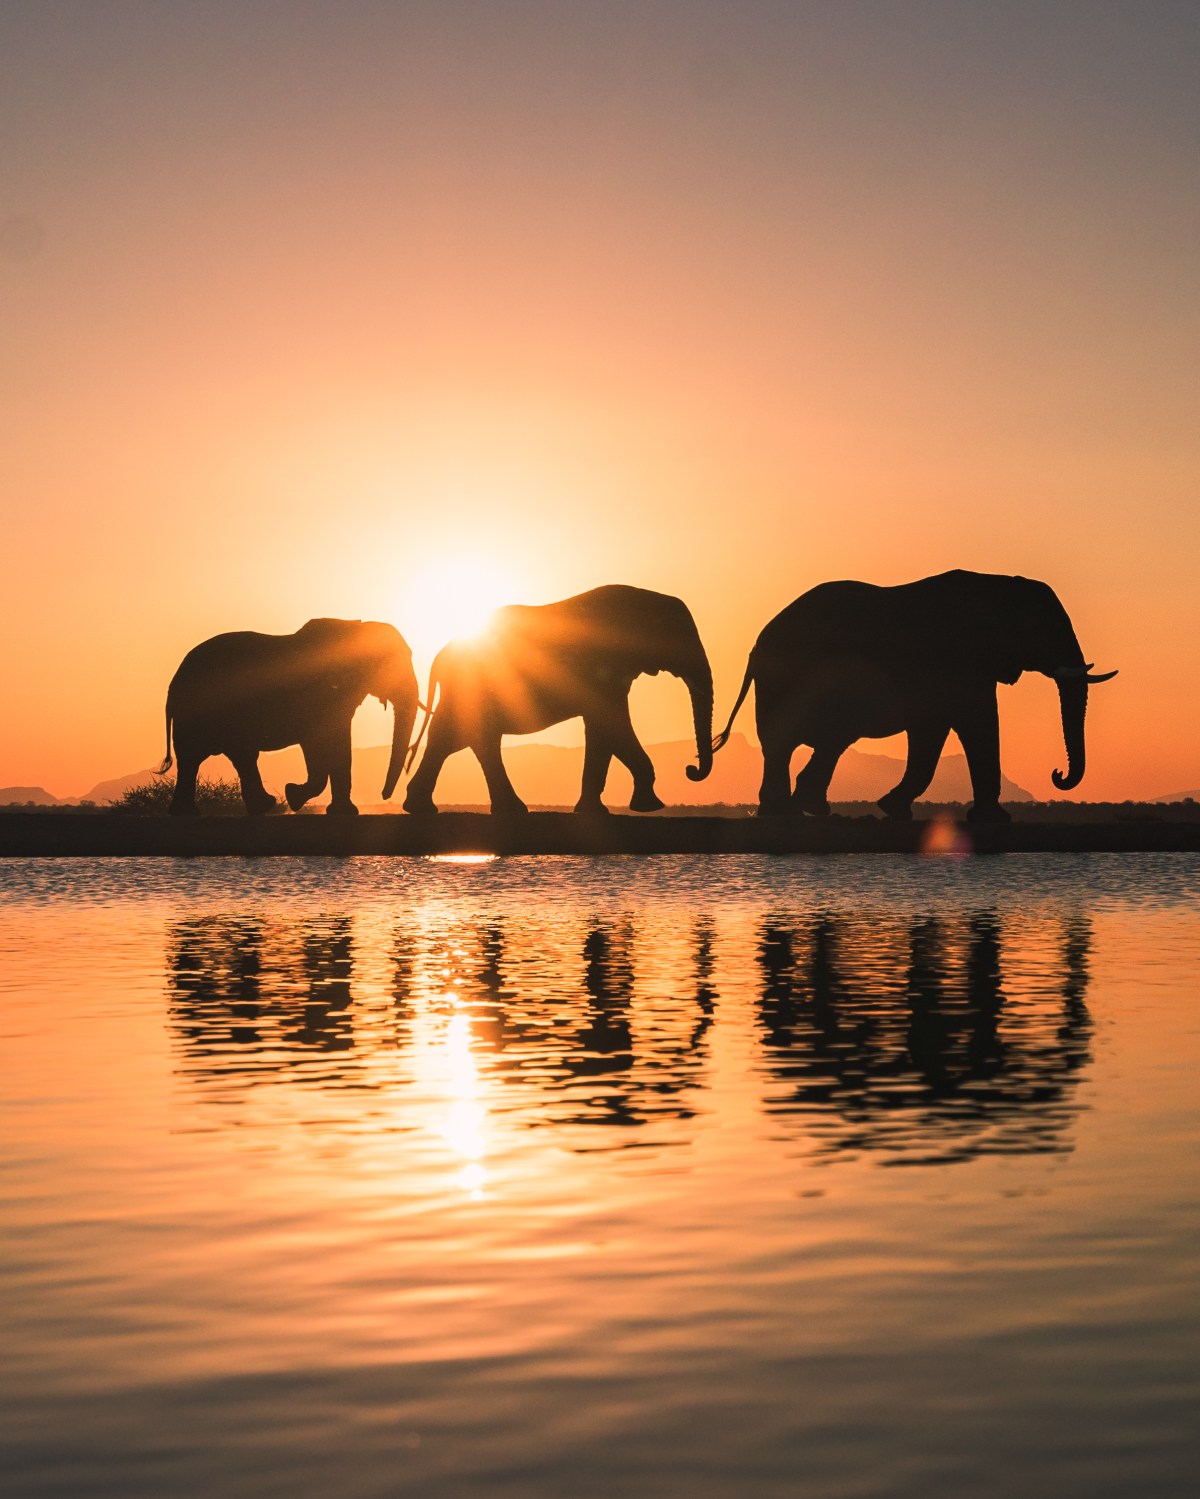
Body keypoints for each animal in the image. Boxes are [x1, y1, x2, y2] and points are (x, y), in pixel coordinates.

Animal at [156, 618, 419, 816]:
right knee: (196, 756)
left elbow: (340, 741)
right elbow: (317, 742)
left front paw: (341, 812)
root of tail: (173, 682)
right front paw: (294, 795)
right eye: (389, 663)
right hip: (199, 710)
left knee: (237, 755)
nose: (384, 796)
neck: (356, 627)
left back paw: (259, 807)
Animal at [402, 584, 714, 815]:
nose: (690, 769)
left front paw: (595, 811)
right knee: (461, 737)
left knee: (461, 738)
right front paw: (649, 806)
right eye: (676, 636)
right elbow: (612, 723)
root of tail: (440, 656)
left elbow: (602, 728)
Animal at [712, 569, 1116, 823]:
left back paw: (798, 810)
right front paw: (997, 820)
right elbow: (977, 721)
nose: (1057, 773)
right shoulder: (956, 661)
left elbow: (933, 731)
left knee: (809, 743)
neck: (998, 583)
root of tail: (757, 645)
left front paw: (894, 809)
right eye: (1045, 629)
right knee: (802, 740)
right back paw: (795, 812)